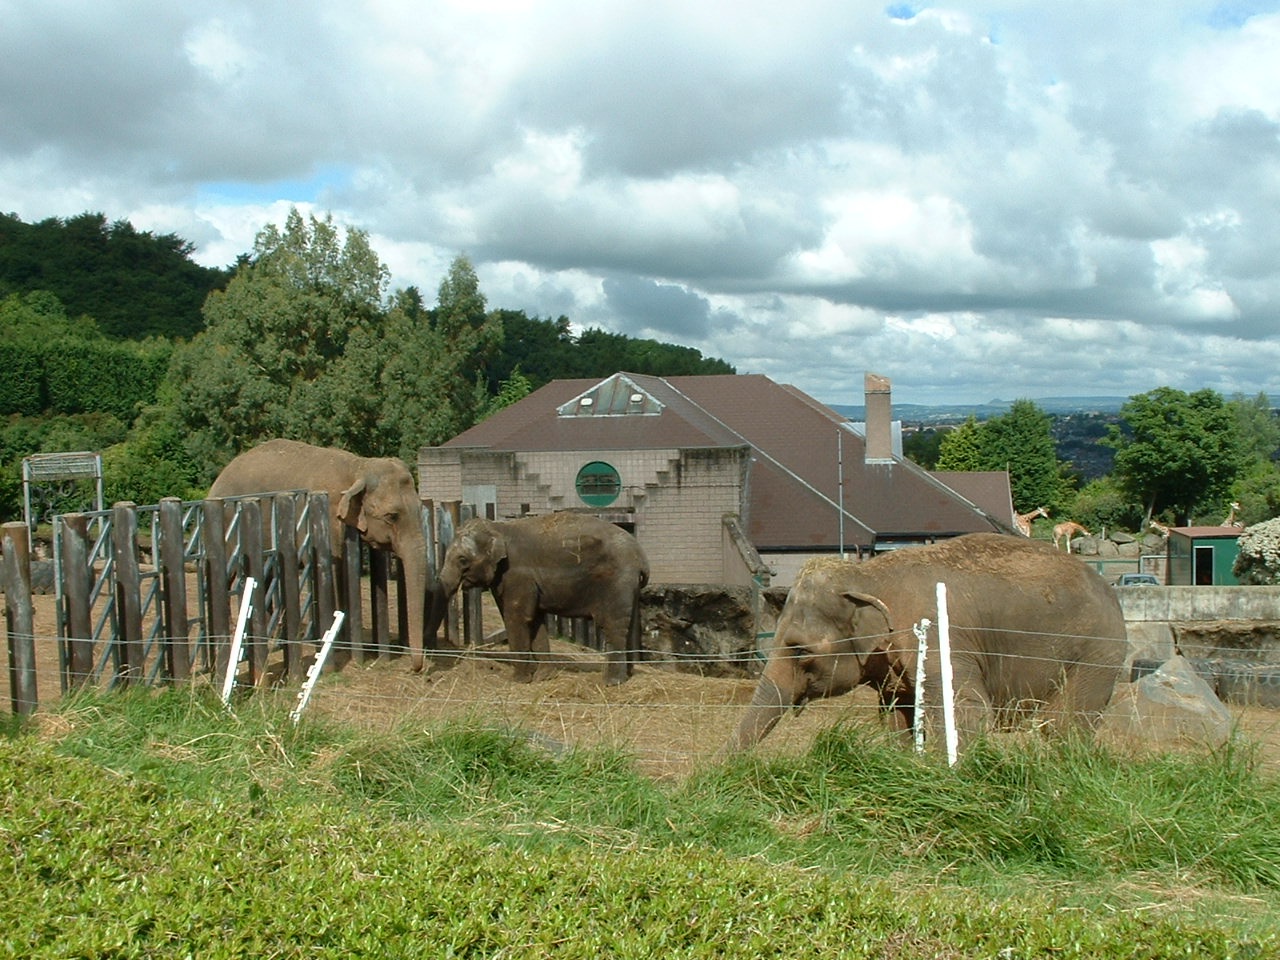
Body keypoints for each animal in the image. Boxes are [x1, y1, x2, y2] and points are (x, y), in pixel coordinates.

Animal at [208, 438, 435, 671]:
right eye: (392, 516)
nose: (416, 668)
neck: (358, 467)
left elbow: (343, 569)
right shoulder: (324, 516)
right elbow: (329, 569)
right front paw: (336, 643)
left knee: (265, 574)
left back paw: (274, 635)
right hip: (227, 522)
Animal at [427, 512, 650, 685]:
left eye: (462, 560)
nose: (431, 655)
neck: (498, 527)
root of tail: (641, 555)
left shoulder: (517, 575)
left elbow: (517, 619)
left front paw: (518, 681)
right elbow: (534, 620)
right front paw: (544, 677)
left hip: (616, 581)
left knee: (611, 625)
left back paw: (612, 682)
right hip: (629, 586)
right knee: (629, 625)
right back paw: (628, 675)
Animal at [726, 533, 1128, 753]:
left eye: (799, 649)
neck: (867, 576)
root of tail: (1111, 591)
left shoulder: (938, 636)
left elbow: (967, 710)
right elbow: (899, 717)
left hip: (1096, 653)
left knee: (1063, 727)